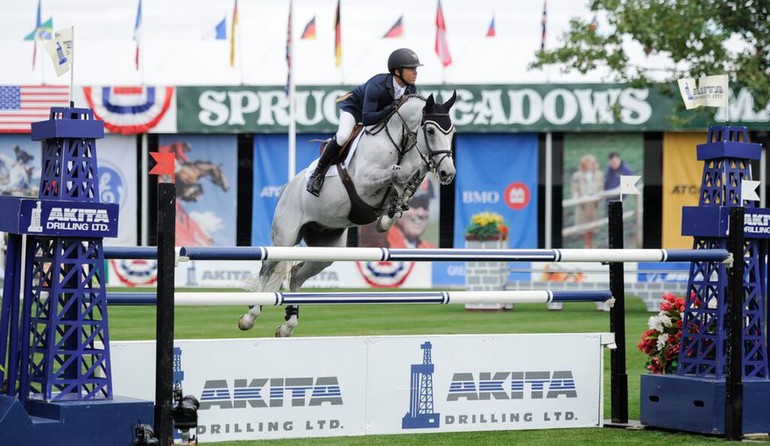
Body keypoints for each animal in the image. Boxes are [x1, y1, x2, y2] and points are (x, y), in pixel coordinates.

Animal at [240, 92, 452, 336]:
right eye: (431, 131)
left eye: (452, 131)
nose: (448, 172)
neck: (401, 141)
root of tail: (287, 188)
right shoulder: (364, 183)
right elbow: (396, 174)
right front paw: (392, 207)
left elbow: (408, 183)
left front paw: (390, 216)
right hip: (285, 238)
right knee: (267, 268)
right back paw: (250, 316)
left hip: (325, 249)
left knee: (297, 274)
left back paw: (287, 325)